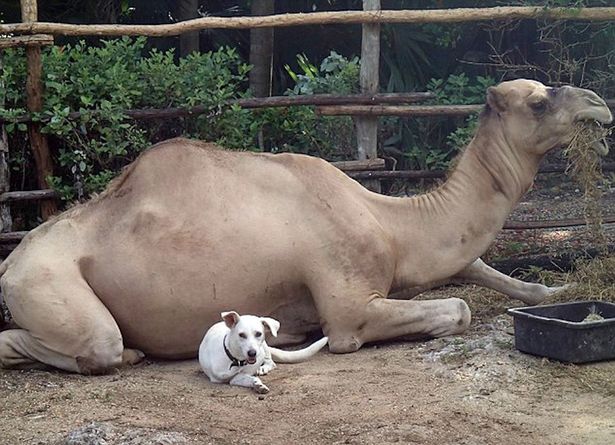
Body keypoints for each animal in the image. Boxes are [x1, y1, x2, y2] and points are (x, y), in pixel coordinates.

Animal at [0, 79, 612, 372]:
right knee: (89, 345)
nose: (599, 103)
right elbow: (455, 308)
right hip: (48, 284)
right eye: (538, 102)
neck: (390, 222)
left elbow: (492, 274)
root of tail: (10, 262)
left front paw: (556, 290)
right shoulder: (348, 305)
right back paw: (128, 354)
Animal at [200, 308, 330, 392]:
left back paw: (263, 368)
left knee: (271, 362)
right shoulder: (222, 378)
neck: (237, 361)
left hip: (264, 347)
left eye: (258, 333)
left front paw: (257, 383)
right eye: (241, 335)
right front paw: (256, 384)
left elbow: (249, 376)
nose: (252, 353)